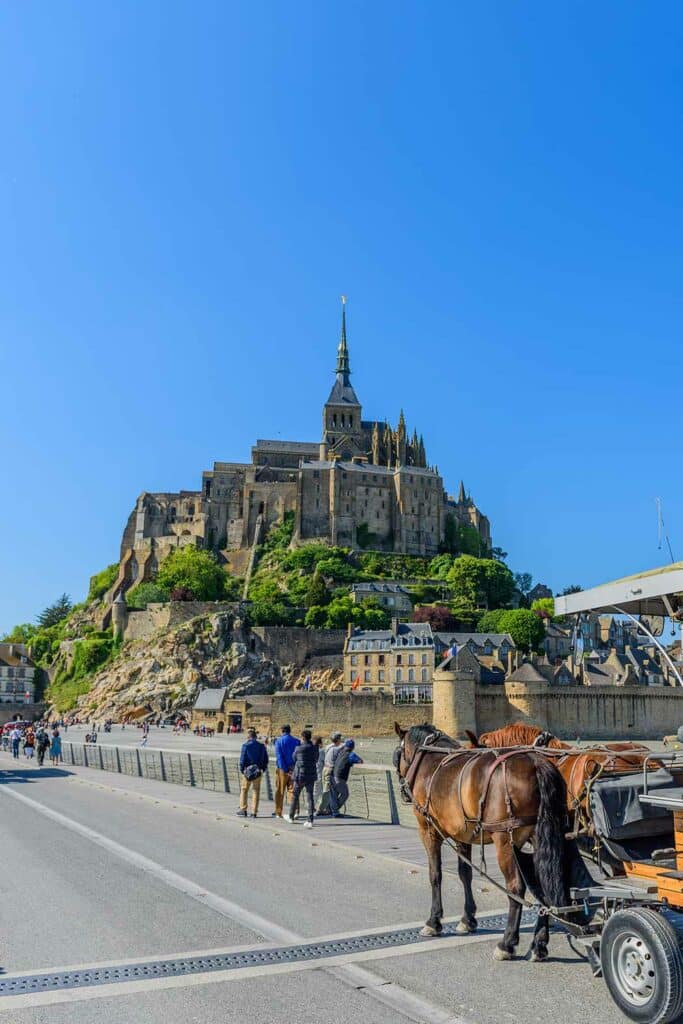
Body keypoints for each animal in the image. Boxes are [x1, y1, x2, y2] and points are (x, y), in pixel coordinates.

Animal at [395, 720, 593, 958]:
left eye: (397, 754)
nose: (403, 790)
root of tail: (537, 763)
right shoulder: (462, 834)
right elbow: (465, 874)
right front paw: (468, 919)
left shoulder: (428, 830)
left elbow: (435, 875)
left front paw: (434, 921)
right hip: (540, 836)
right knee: (544, 884)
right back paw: (539, 943)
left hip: (505, 841)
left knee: (516, 887)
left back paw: (507, 943)